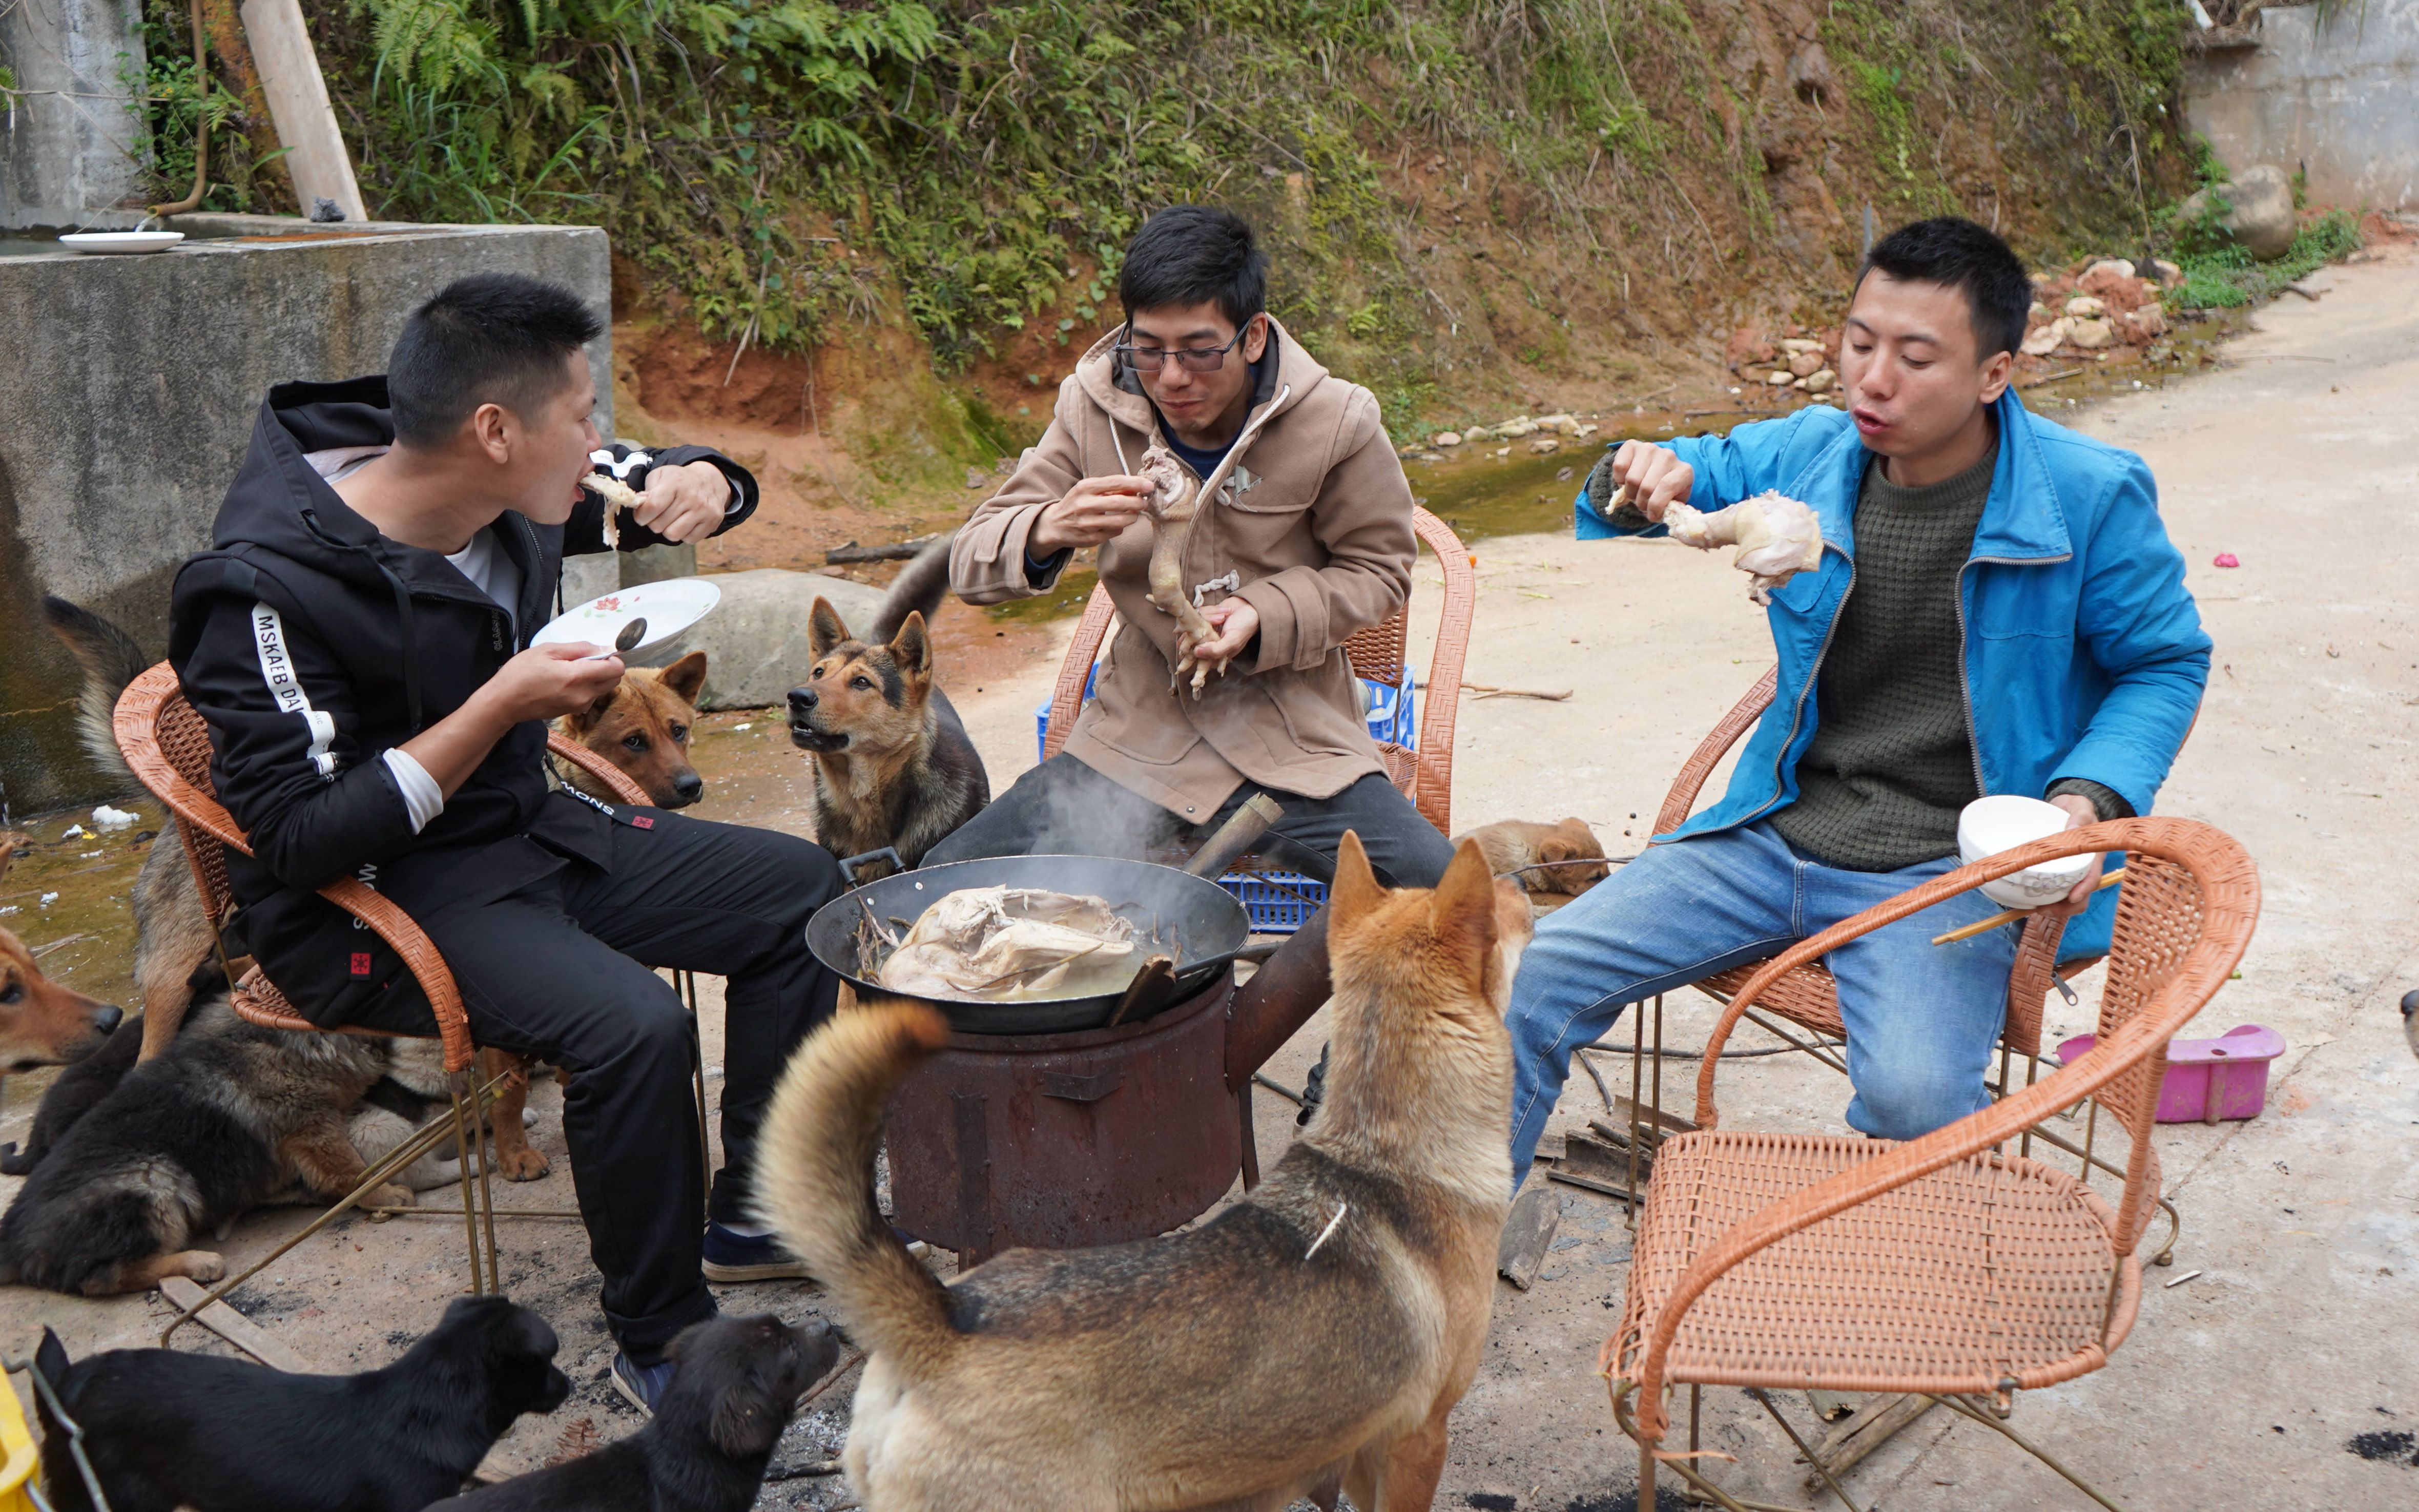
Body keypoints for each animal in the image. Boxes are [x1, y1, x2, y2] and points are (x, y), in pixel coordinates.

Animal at [754, 832, 1528, 1500]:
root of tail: (941, 1326)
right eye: (1493, 913)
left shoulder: (1364, 1447)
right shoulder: (1416, 1442)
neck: (1383, 1146)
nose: (1522, 885)